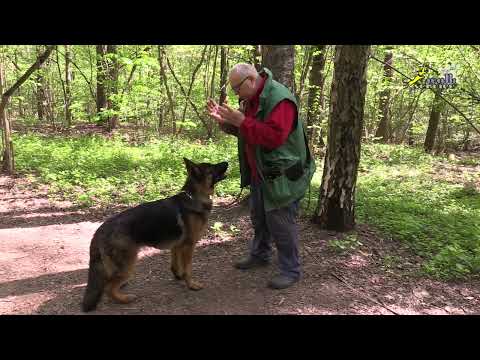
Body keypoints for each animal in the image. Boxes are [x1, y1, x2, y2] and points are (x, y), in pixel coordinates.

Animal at [81, 158, 228, 312]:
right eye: (212, 167)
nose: (227, 162)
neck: (194, 197)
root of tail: (101, 229)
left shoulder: (177, 246)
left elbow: (176, 266)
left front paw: (178, 276)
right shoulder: (188, 246)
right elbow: (188, 269)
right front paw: (191, 284)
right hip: (128, 266)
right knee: (108, 288)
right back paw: (125, 299)